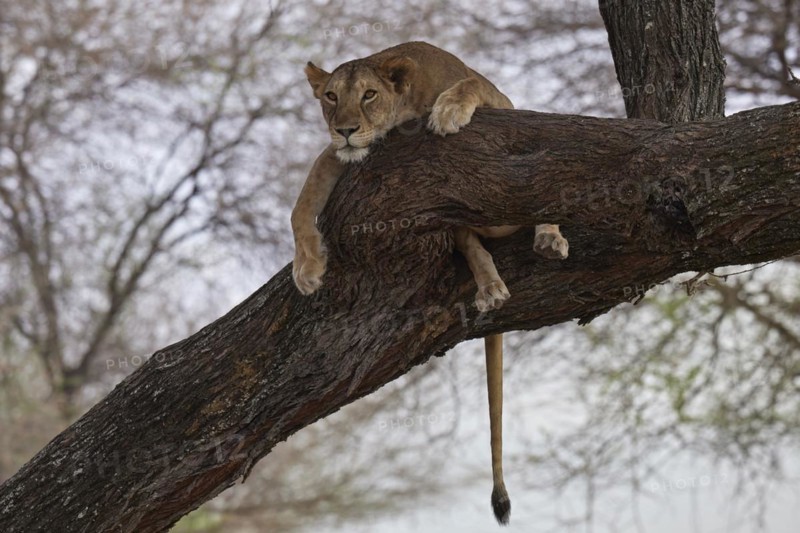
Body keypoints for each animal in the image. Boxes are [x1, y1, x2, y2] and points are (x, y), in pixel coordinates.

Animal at [290, 41, 569, 525]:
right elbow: (302, 202)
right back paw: (490, 286)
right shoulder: (341, 157)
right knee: (469, 241)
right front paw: (307, 268)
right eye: (330, 96)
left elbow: (472, 85)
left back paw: (550, 239)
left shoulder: (503, 107)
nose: (345, 129)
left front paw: (448, 111)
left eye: (368, 95)